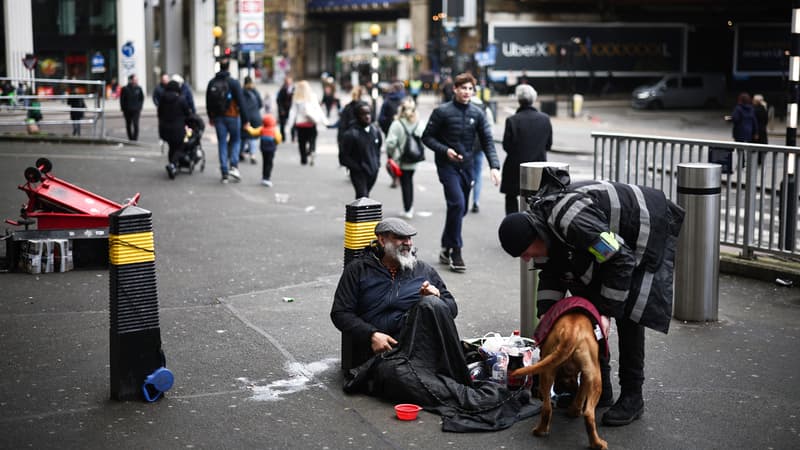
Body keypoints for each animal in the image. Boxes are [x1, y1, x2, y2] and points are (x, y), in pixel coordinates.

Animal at [512, 312, 608, 450]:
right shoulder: (585, 375)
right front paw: (575, 410)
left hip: (549, 370)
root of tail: (570, 332)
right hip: (595, 377)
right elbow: (581, 393)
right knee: (588, 414)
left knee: (548, 408)